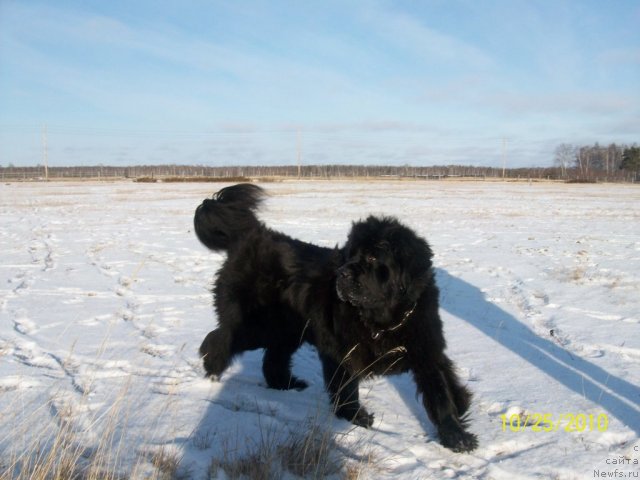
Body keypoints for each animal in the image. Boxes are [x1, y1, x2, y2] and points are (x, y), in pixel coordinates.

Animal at [192, 184, 478, 454]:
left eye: (373, 256)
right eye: (351, 254)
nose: (342, 274)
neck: (384, 320)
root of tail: (252, 235)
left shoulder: (426, 347)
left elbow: (440, 393)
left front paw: (457, 436)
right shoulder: (341, 349)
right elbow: (346, 387)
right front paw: (356, 417)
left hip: (287, 330)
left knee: (273, 358)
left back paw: (287, 384)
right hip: (261, 325)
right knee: (219, 337)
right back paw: (212, 368)